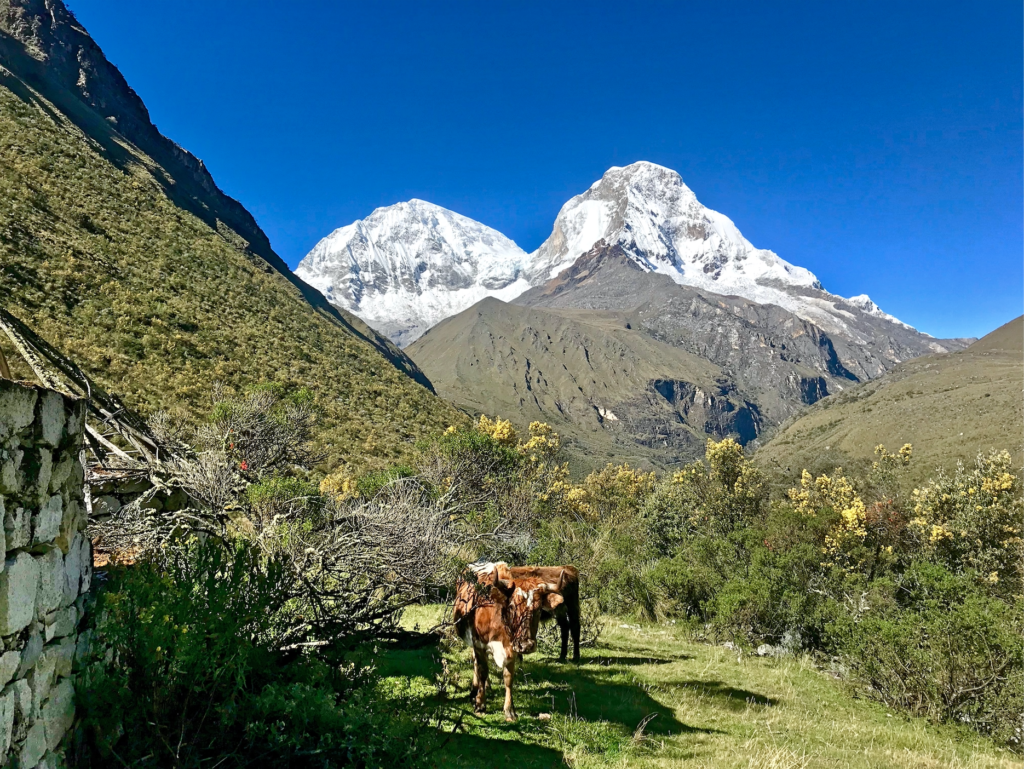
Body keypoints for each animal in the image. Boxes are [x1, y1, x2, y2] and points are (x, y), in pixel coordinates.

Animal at [454, 565, 569, 720]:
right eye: (512, 606)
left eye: (539, 610)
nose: (526, 645)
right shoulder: (479, 644)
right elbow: (482, 671)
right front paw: (480, 704)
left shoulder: (512, 649)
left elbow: (508, 678)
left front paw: (509, 710)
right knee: (476, 664)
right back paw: (475, 691)